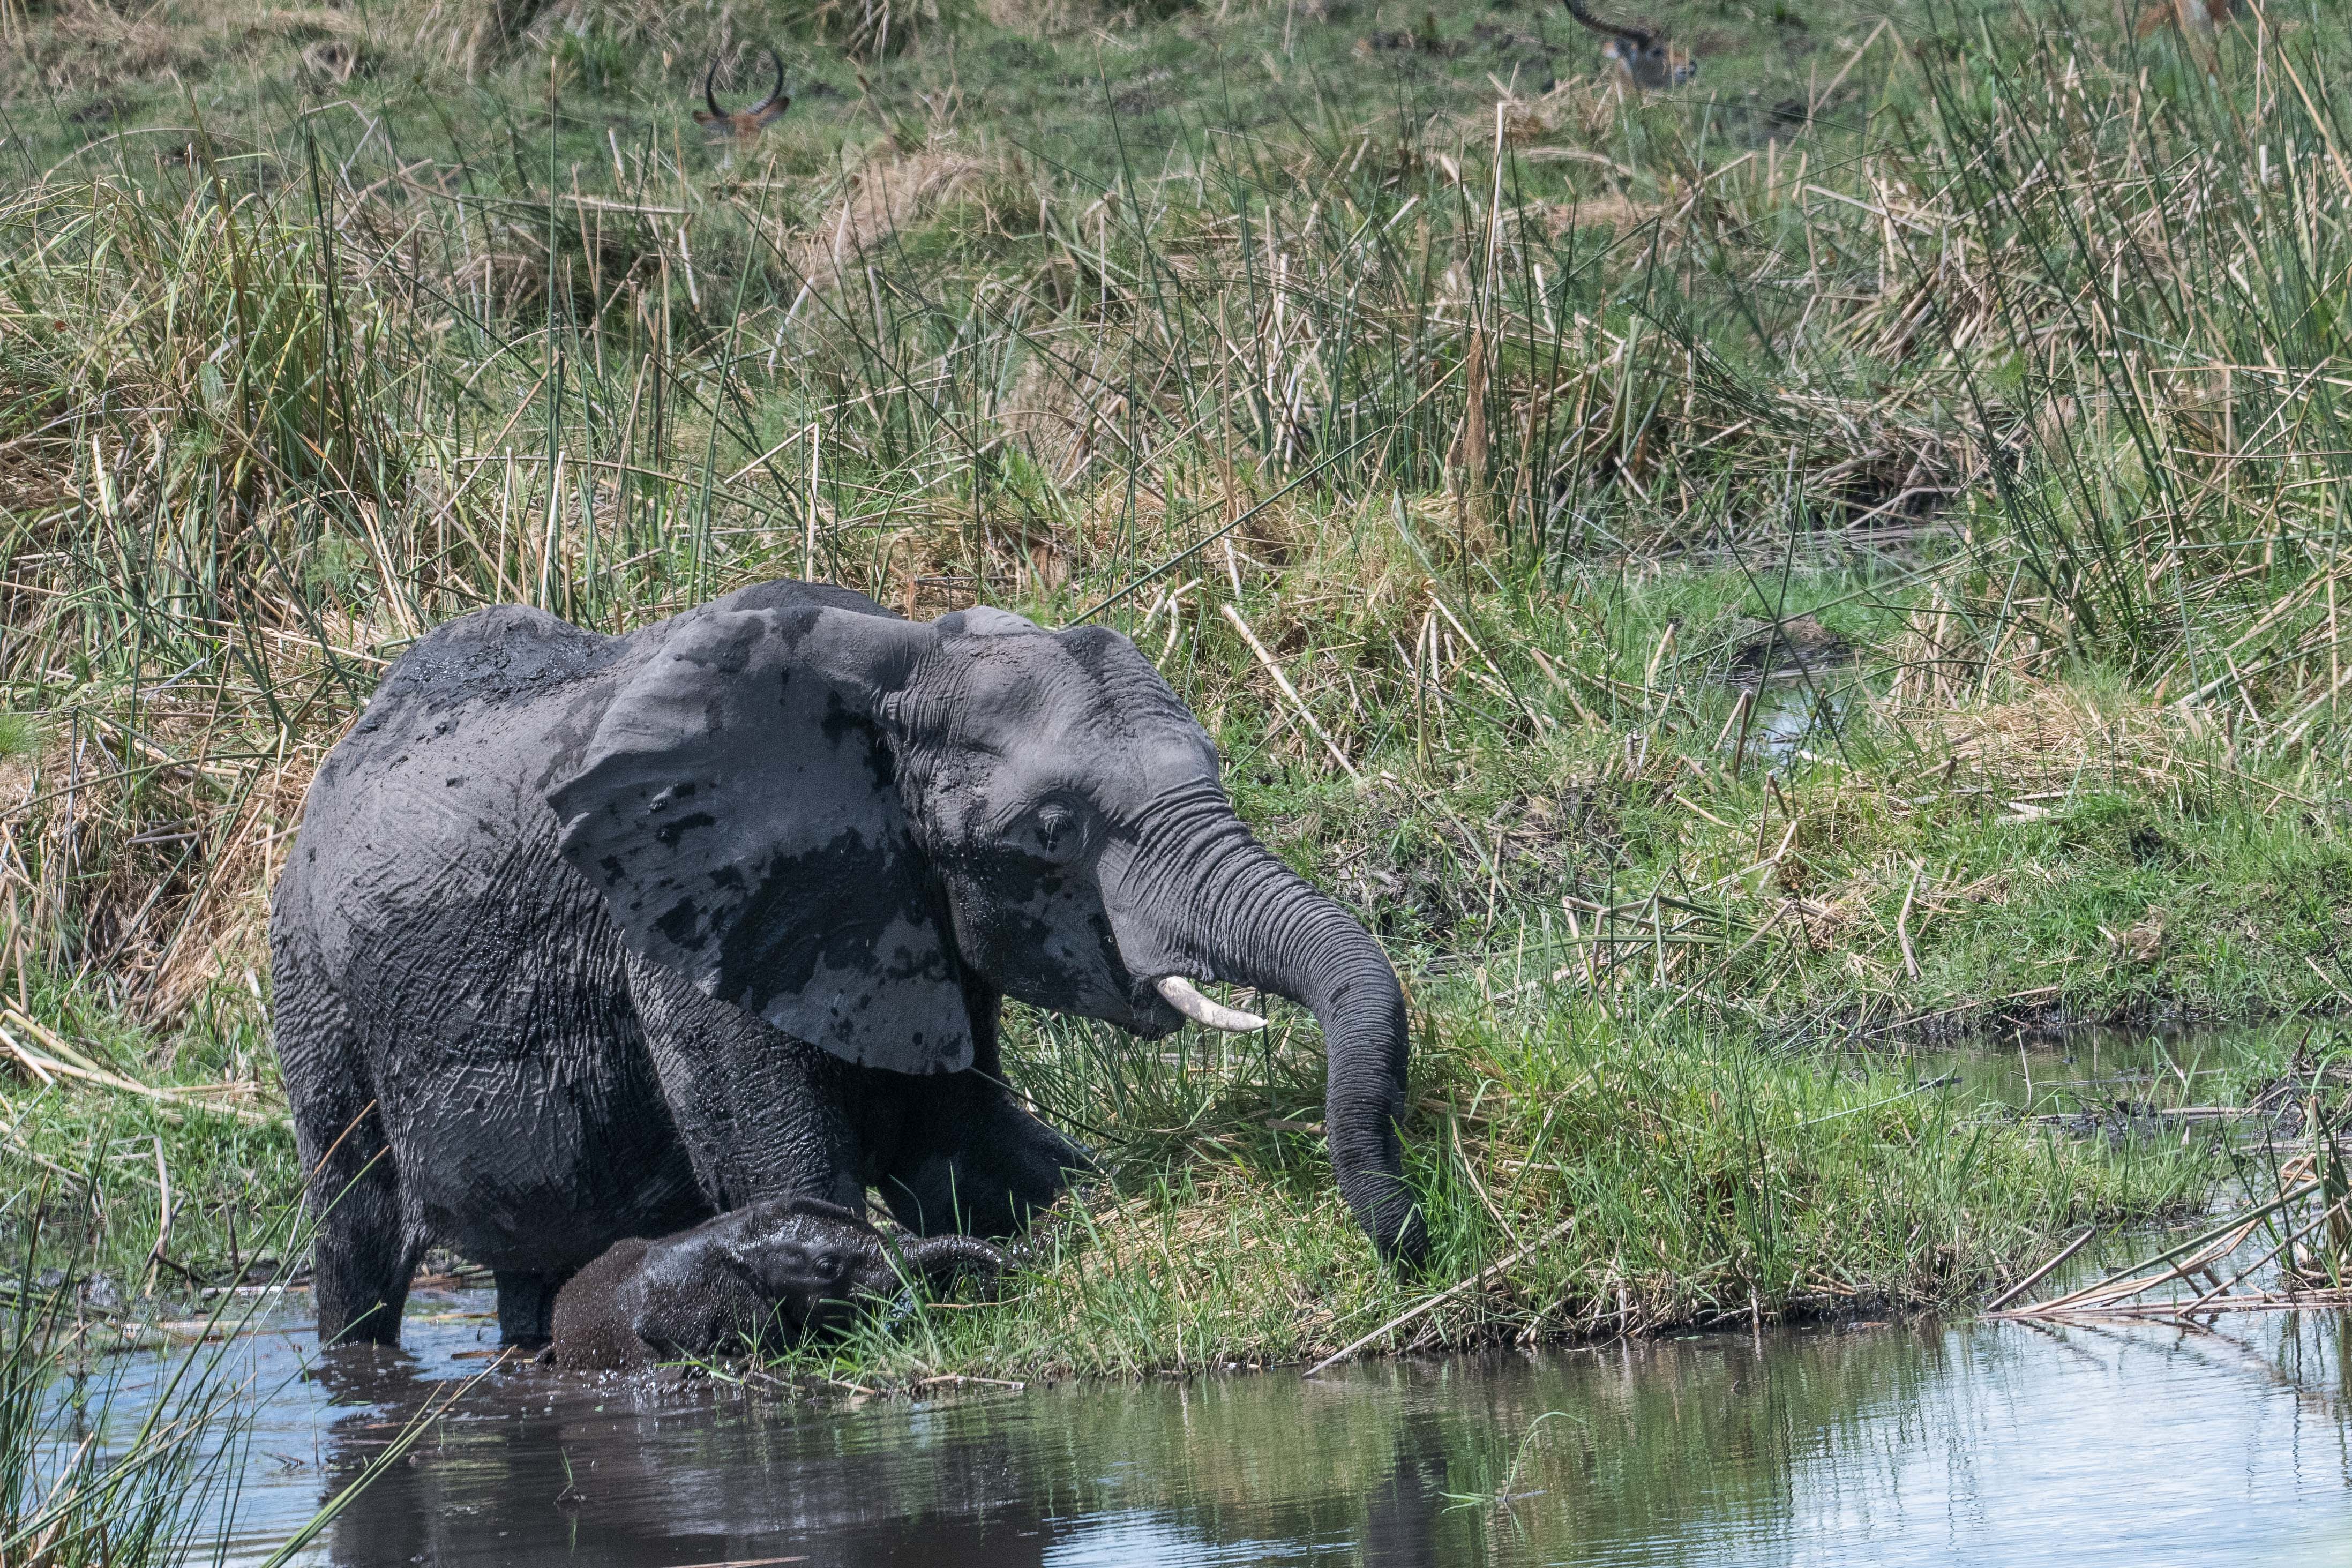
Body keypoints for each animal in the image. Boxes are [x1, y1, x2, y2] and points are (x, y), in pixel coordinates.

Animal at [267, 580, 1420, 1354]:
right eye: (1053, 831)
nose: (1411, 1239)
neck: (893, 664)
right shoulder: (686, 909)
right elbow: (788, 1171)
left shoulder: (896, 904)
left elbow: (957, 1145)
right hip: (310, 974)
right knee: (357, 1230)